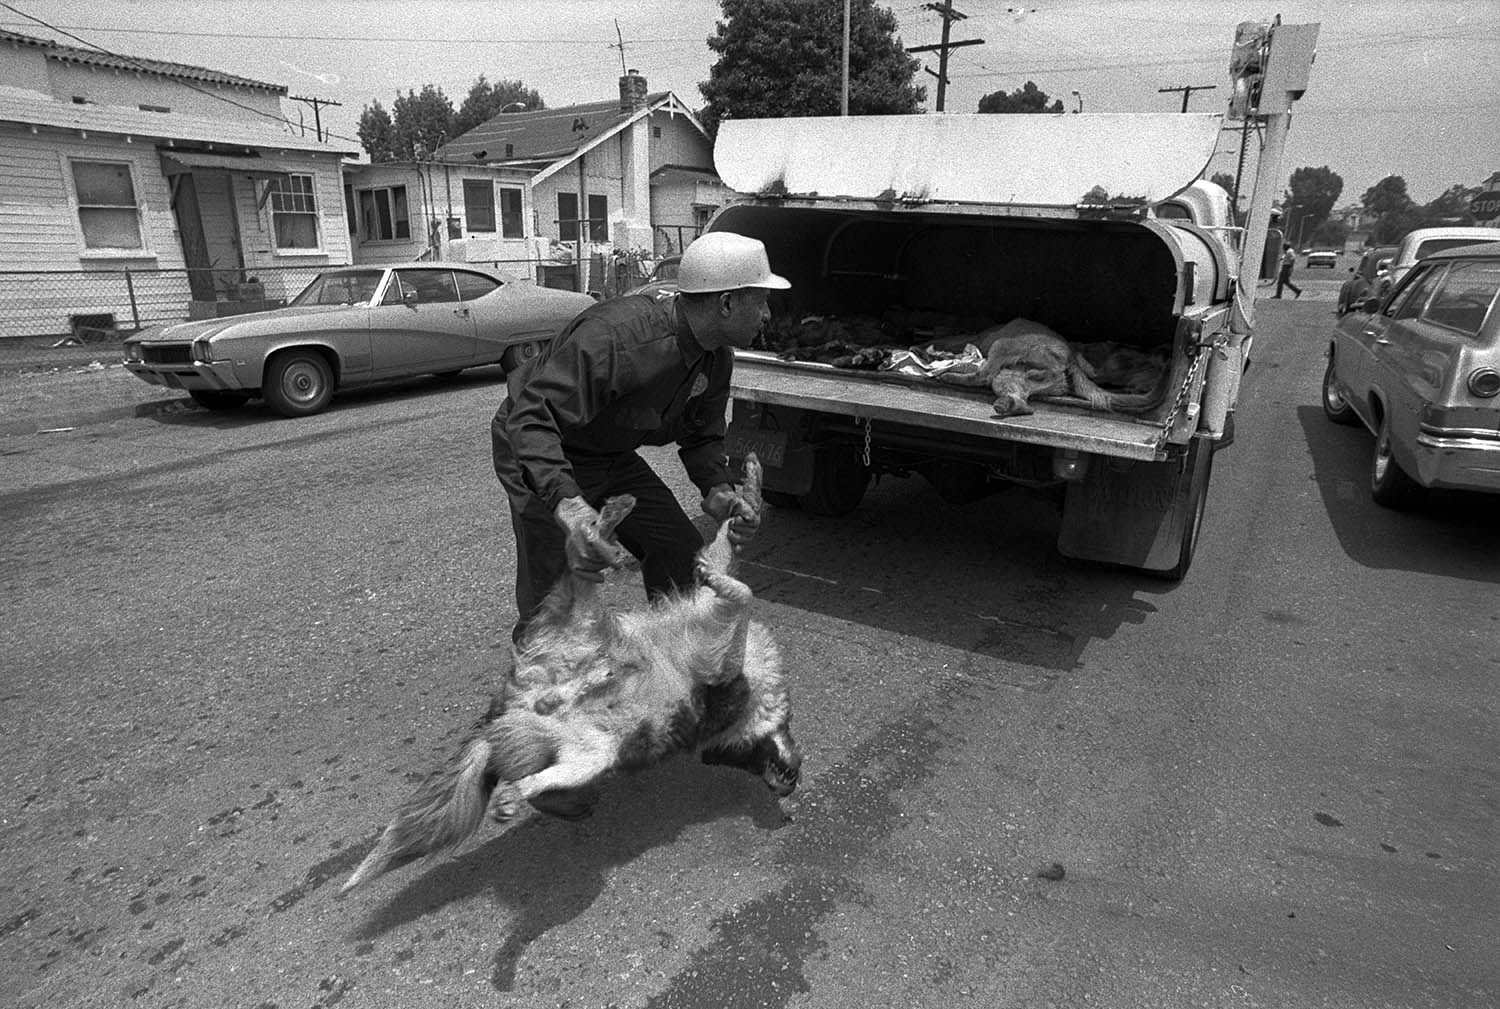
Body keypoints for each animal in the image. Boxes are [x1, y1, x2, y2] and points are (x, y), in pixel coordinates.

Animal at [345, 455, 804, 887]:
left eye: (781, 777)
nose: (791, 780)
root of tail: (508, 712)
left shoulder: (719, 666)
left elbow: (742, 594)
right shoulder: (715, 627)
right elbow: (732, 560)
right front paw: (748, 492)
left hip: (593, 753)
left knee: (532, 782)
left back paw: (514, 797)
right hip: (582, 619)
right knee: (579, 552)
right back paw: (609, 521)